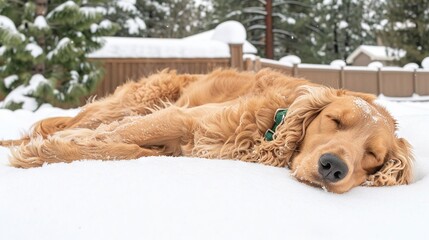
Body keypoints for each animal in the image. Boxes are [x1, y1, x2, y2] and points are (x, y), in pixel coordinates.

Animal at [0, 67, 412, 193]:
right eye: (335, 121)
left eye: (373, 156)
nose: (333, 167)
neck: (270, 124)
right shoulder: (184, 118)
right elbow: (119, 142)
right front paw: (44, 153)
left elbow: (125, 149)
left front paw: (52, 150)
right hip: (137, 100)